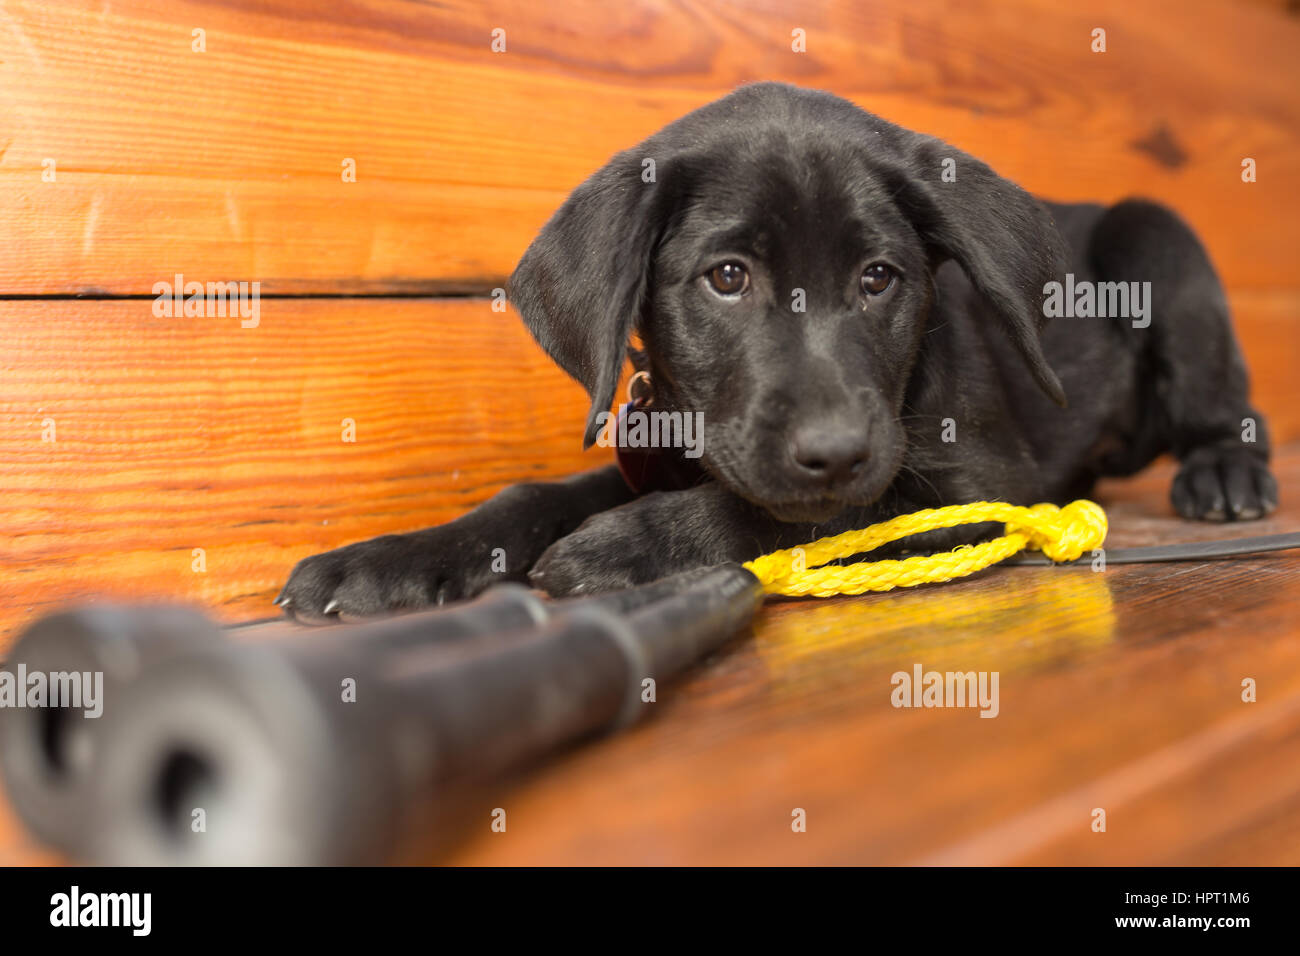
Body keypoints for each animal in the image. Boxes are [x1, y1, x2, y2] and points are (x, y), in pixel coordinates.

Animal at [276, 80, 1279, 621]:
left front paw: (627, 544)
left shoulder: (982, 484)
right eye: (727, 278)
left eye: (879, 278)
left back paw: (1224, 474)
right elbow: (538, 495)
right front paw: (395, 559)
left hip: (1159, 242)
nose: (833, 449)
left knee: (1229, 408)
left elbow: (821, 513)